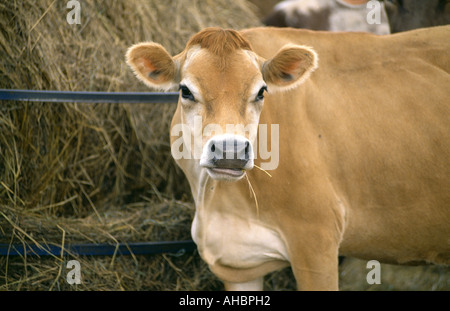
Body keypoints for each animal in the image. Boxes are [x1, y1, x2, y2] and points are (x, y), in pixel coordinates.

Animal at [127, 25, 450, 292]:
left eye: (261, 91)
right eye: (185, 90)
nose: (230, 150)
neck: (214, 200)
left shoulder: (316, 244)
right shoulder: (237, 263)